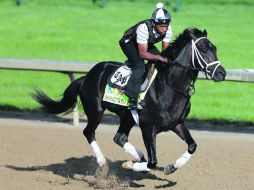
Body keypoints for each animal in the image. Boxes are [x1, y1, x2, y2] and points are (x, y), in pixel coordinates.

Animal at [32, 28, 226, 175]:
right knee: (89, 132)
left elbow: (192, 145)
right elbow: (153, 162)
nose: (221, 73)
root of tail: (86, 77)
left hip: (126, 117)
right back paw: (103, 162)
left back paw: (136, 157)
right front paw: (132, 165)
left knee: (119, 137)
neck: (169, 86)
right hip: (96, 111)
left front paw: (171, 167)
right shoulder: (148, 128)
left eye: (214, 48)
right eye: (202, 49)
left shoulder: (176, 123)